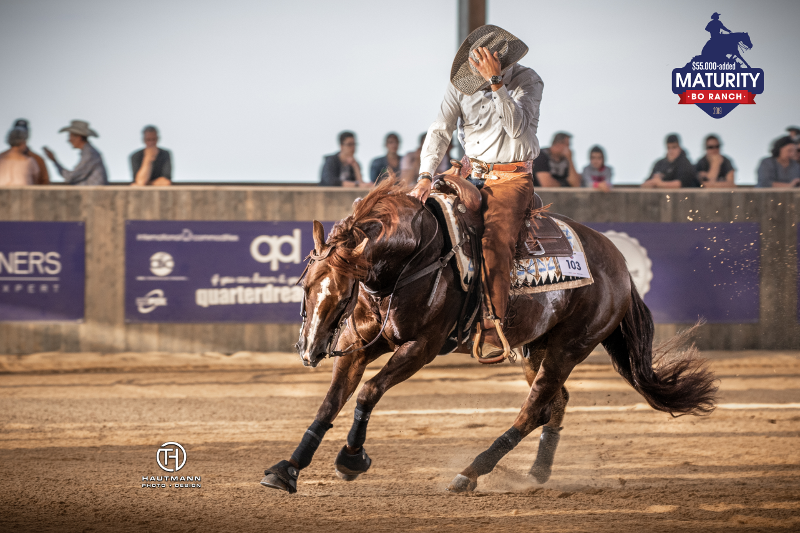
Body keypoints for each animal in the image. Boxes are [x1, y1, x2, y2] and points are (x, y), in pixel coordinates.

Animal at [262, 180, 720, 494]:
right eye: (306, 285)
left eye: (343, 293)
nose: (309, 350)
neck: (416, 261)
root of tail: (621, 266)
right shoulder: (360, 347)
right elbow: (330, 402)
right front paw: (287, 469)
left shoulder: (421, 348)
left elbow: (368, 392)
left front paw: (352, 459)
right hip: (536, 347)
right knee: (555, 402)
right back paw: (535, 473)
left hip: (569, 347)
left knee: (533, 410)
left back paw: (470, 473)